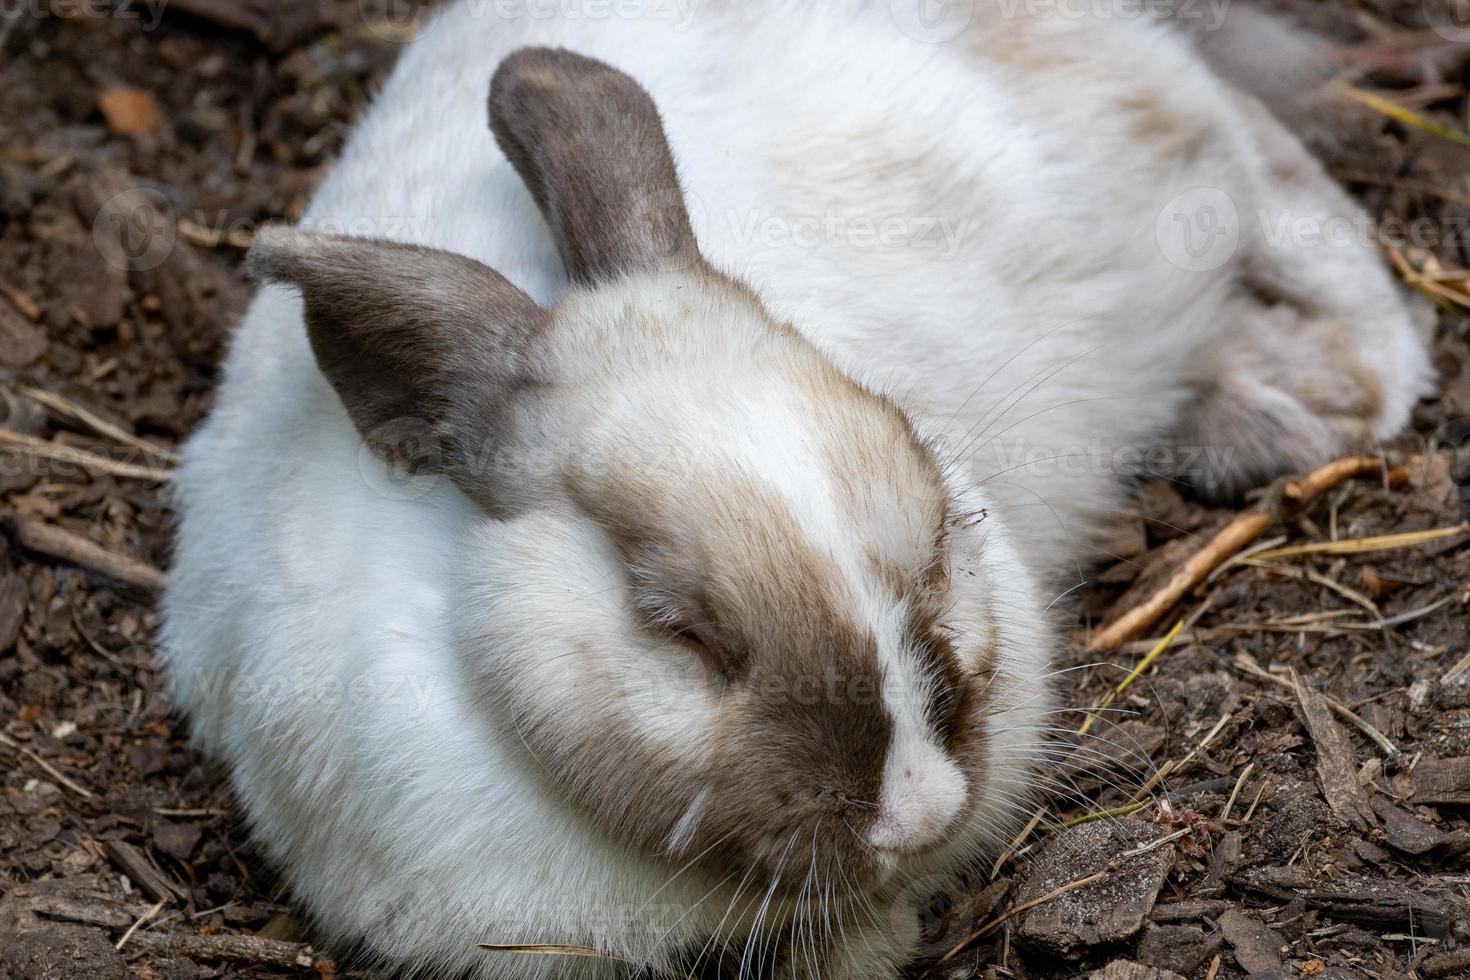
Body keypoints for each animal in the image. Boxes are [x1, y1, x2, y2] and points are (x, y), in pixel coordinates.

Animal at [163, 3, 1434, 975]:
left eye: (940, 536)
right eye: (677, 628)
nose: (920, 807)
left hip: (1171, 142)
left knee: (1290, 193)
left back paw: (1349, 397)